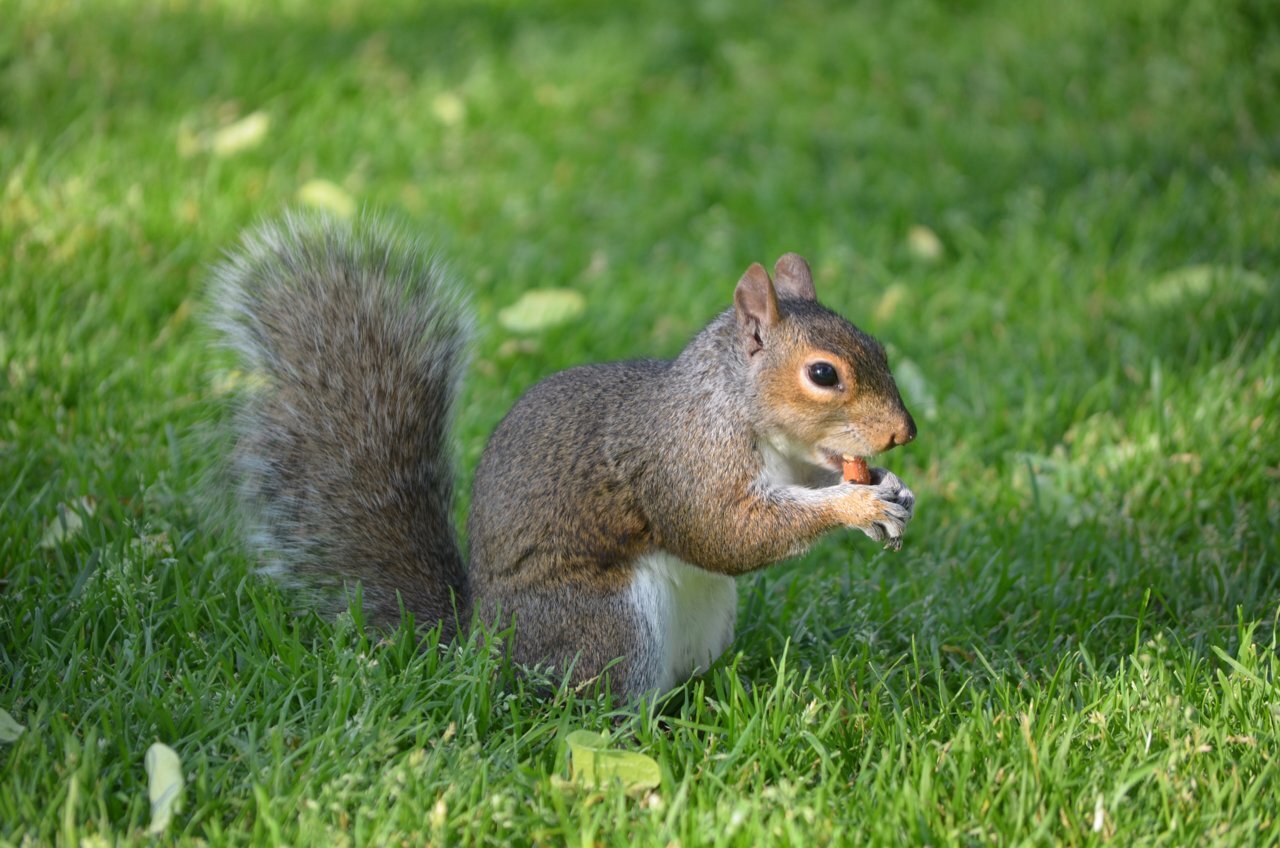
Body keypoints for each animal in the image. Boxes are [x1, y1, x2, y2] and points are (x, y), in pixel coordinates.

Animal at [211, 214, 917, 698]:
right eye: (822, 374)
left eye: (880, 346)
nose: (902, 434)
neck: (738, 409)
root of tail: (483, 645)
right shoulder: (684, 461)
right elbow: (724, 533)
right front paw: (854, 504)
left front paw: (892, 488)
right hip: (608, 626)